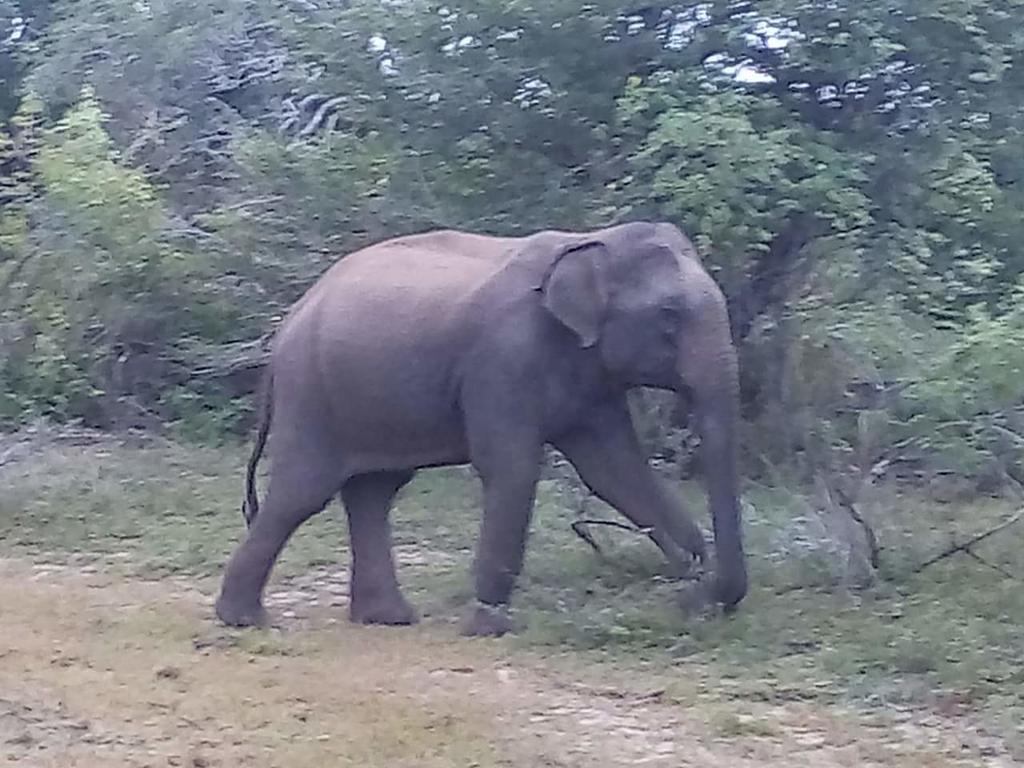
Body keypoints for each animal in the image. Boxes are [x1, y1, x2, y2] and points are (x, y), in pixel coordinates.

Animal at [214, 221, 745, 638]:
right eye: (668, 317)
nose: (700, 594)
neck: (594, 240)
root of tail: (288, 323)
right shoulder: (503, 358)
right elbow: (513, 469)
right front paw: (491, 626)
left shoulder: (593, 377)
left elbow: (615, 472)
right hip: (313, 391)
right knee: (303, 492)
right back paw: (244, 621)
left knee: (374, 491)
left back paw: (387, 618)